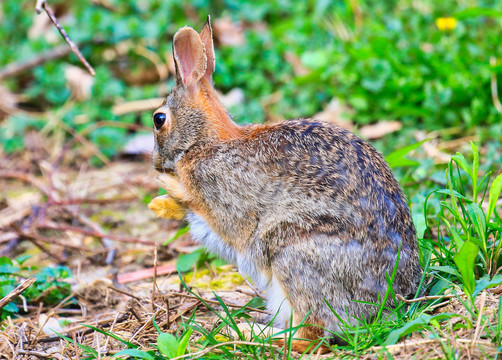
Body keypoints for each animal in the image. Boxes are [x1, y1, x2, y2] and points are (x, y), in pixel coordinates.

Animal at [150, 16, 424, 352]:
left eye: (159, 119)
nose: (155, 162)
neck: (205, 141)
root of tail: (391, 299)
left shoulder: (223, 196)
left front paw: (164, 182)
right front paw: (160, 203)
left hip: (291, 253)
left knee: (311, 335)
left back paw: (243, 331)